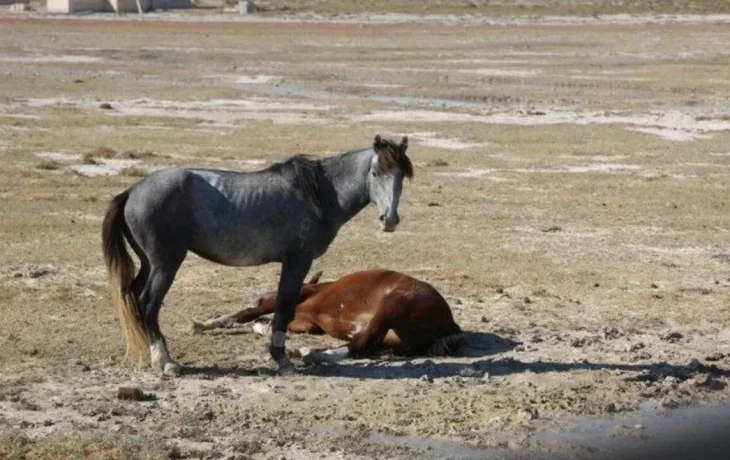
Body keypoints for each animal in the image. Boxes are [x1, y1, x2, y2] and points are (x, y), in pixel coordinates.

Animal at [99, 135, 412, 376]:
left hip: (149, 262)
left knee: (134, 296)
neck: (319, 195)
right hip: (166, 263)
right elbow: (284, 306)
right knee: (148, 303)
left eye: (401, 176)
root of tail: (132, 191)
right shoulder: (297, 261)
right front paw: (282, 359)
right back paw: (165, 362)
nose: (389, 220)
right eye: (376, 173)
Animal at [191, 270, 464, 362]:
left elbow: (249, 315)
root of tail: (449, 322)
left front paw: (205, 323)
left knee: (360, 344)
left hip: (390, 307)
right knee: (366, 345)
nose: (256, 296)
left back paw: (310, 354)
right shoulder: (305, 322)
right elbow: (265, 324)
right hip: (392, 337)